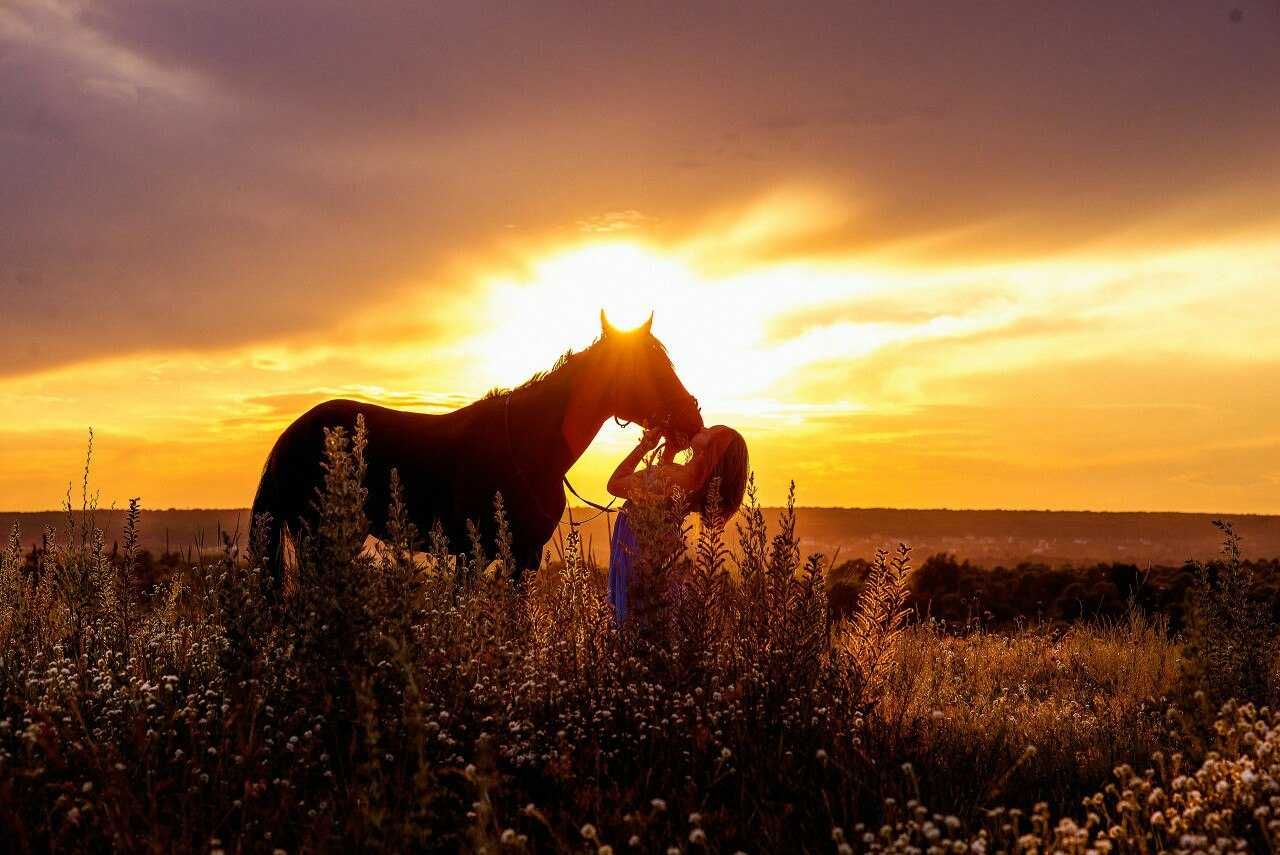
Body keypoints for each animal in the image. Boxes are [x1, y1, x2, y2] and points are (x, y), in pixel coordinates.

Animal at [249, 311, 706, 583]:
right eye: (649, 367)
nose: (692, 420)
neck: (530, 448)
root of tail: (289, 437)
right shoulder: (473, 554)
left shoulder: (524, 557)